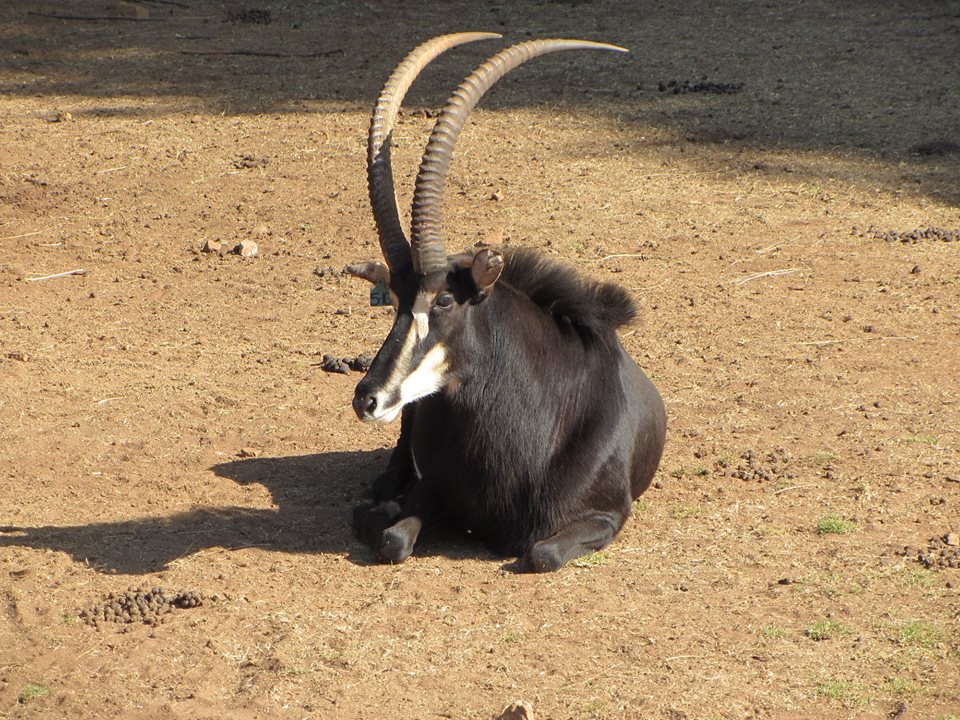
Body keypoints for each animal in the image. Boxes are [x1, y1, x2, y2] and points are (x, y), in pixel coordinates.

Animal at [346, 33, 666, 572]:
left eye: (445, 299)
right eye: (393, 300)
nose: (368, 398)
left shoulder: (607, 516)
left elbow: (543, 553)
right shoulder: (431, 492)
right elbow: (393, 539)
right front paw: (380, 516)